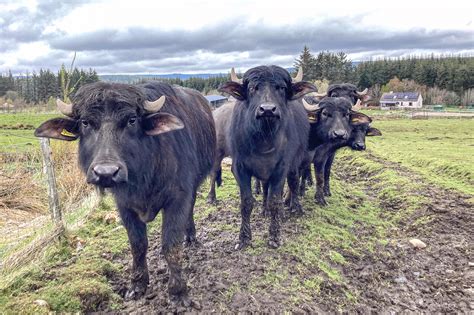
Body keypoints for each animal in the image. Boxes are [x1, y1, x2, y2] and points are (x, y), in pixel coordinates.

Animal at [34, 81, 216, 306]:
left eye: (131, 120)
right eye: (85, 122)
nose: (106, 172)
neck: (144, 176)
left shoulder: (178, 197)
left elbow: (171, 245)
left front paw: (178, 292)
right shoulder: (124, 205)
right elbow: (137, 245)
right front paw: (137, 285)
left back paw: (190, 236)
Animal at [218, 66, 314, 249]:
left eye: (282, 87)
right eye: (252, 88)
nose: (268, 110)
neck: (263, 139)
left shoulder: (281, 169)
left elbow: (275, 200)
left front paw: (274, 236)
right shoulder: (239, 169)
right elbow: (247, 202)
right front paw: (244, 238)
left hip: (294, 163)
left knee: (293, 182)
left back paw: (294, 208)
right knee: (264, 187)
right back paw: (264, 210)